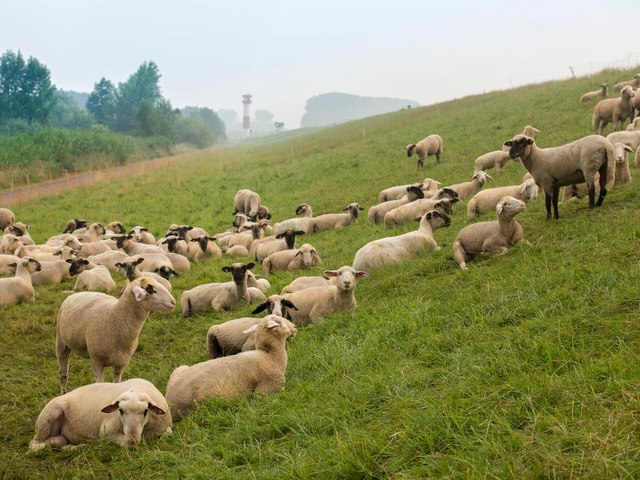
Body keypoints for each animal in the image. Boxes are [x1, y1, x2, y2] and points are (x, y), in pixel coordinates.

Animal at [29, 378, 172, 450]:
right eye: (120, 410)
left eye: (146, 411)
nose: (132, 440)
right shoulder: (106, 432)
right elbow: (123, 443)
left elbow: (167, 434)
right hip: (47, 417)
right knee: (34, 445)